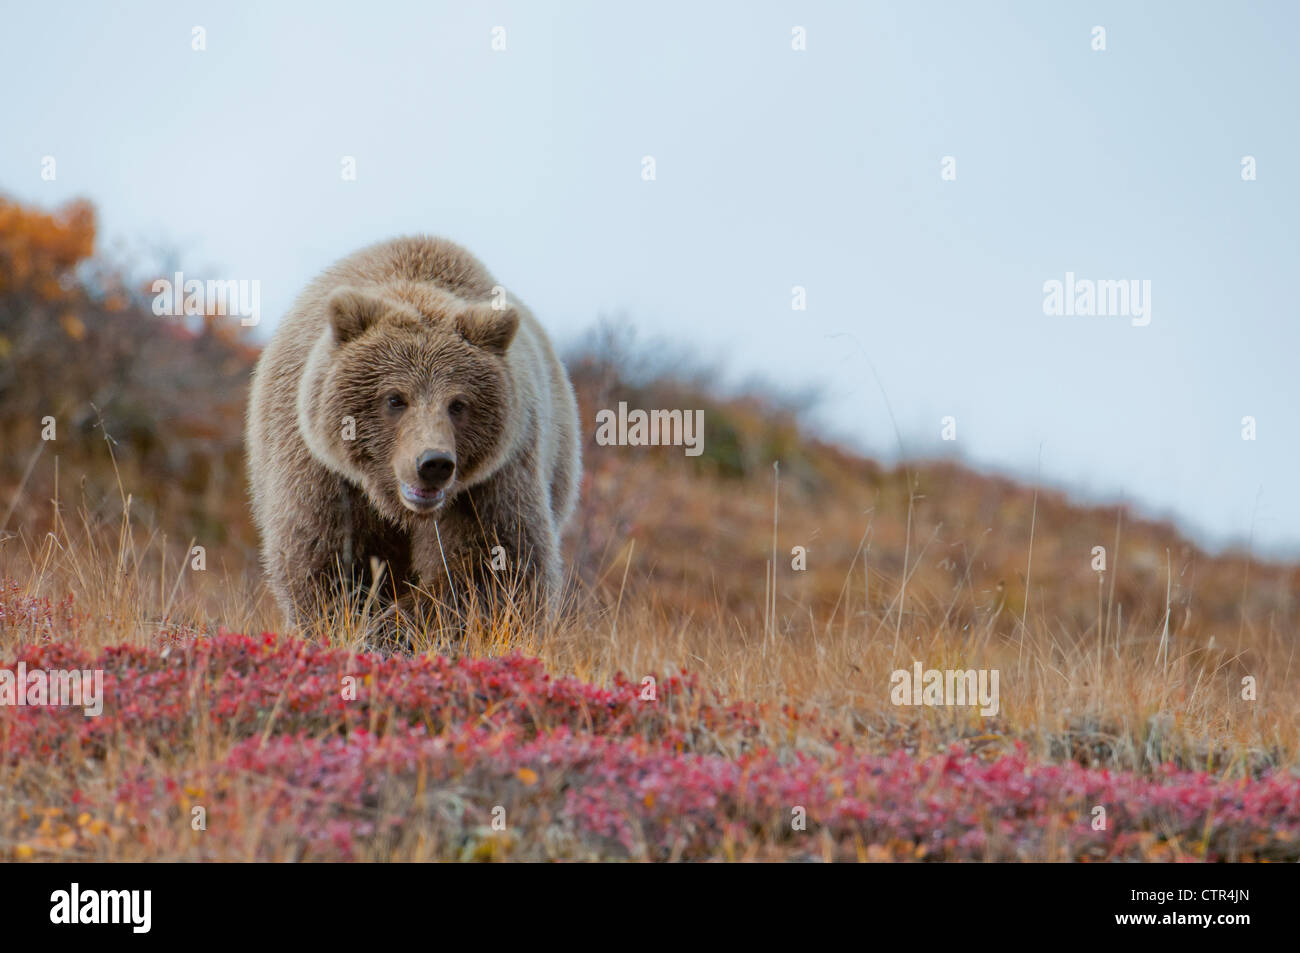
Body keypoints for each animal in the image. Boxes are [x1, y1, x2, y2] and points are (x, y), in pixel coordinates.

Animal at [245, 236, 582, 624]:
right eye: (395, 398)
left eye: (458, 404)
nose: (433, 463)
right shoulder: (321, 470)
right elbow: (323, 563)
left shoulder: (492, 480)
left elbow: (493, 566)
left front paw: (402, 621)